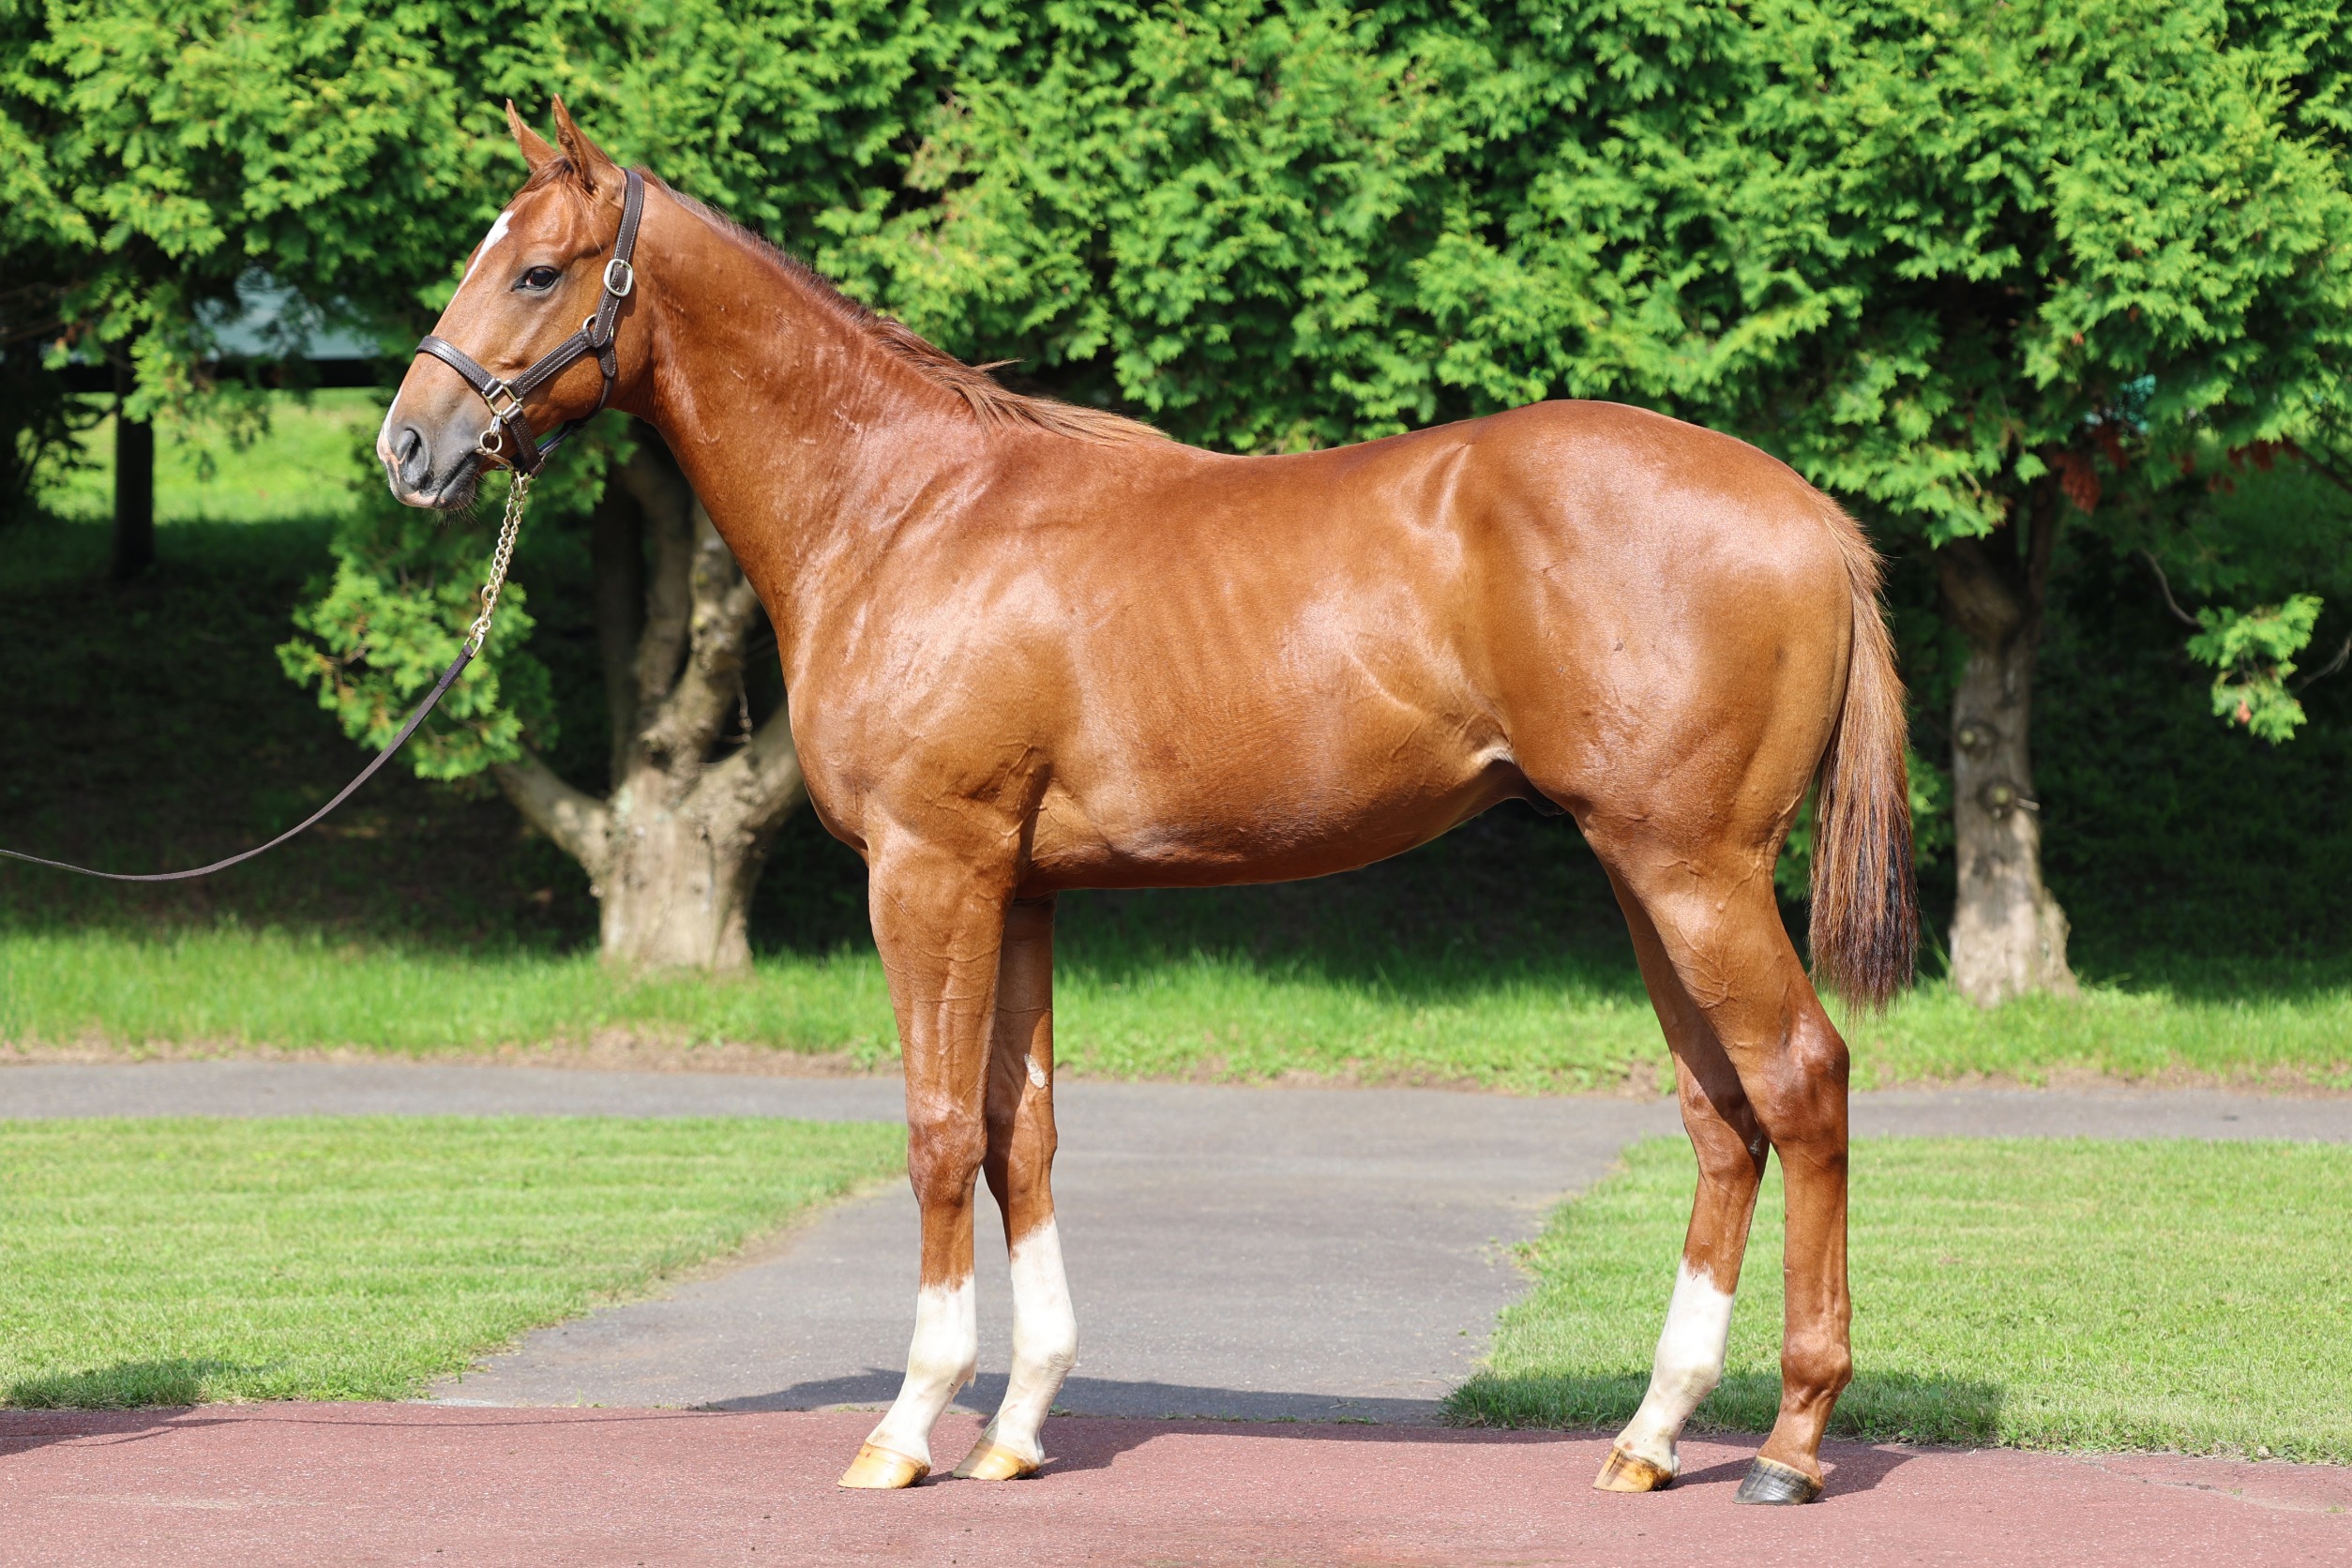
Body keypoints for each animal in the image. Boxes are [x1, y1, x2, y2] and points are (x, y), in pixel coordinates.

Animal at [381, 101, 1916, 1506]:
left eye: (537, 272)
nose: (410, 446)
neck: (905, 509)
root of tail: (1809, 516)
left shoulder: (928, 870)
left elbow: (939, 1132)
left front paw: (907, 1425)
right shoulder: (1018, 890)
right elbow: (1023, 1136)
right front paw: (1013, 1428)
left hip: (1694, 869)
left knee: (1801, 1082)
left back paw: (1789, 1444)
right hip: (1643, 870)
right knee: (1722, 1117)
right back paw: (1652, 1437)